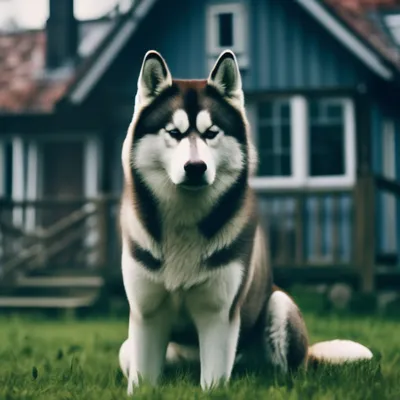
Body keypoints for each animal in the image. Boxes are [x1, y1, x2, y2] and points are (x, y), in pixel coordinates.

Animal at [117, 49, 374, 394]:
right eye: (174, 133)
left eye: (211, 133)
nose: (195, 167)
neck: (185, 221)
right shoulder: (147, 314)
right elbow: (143, 381)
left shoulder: (218, 314)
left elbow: (213, 382)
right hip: (127, 349)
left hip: (279, 305)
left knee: (282, 371)